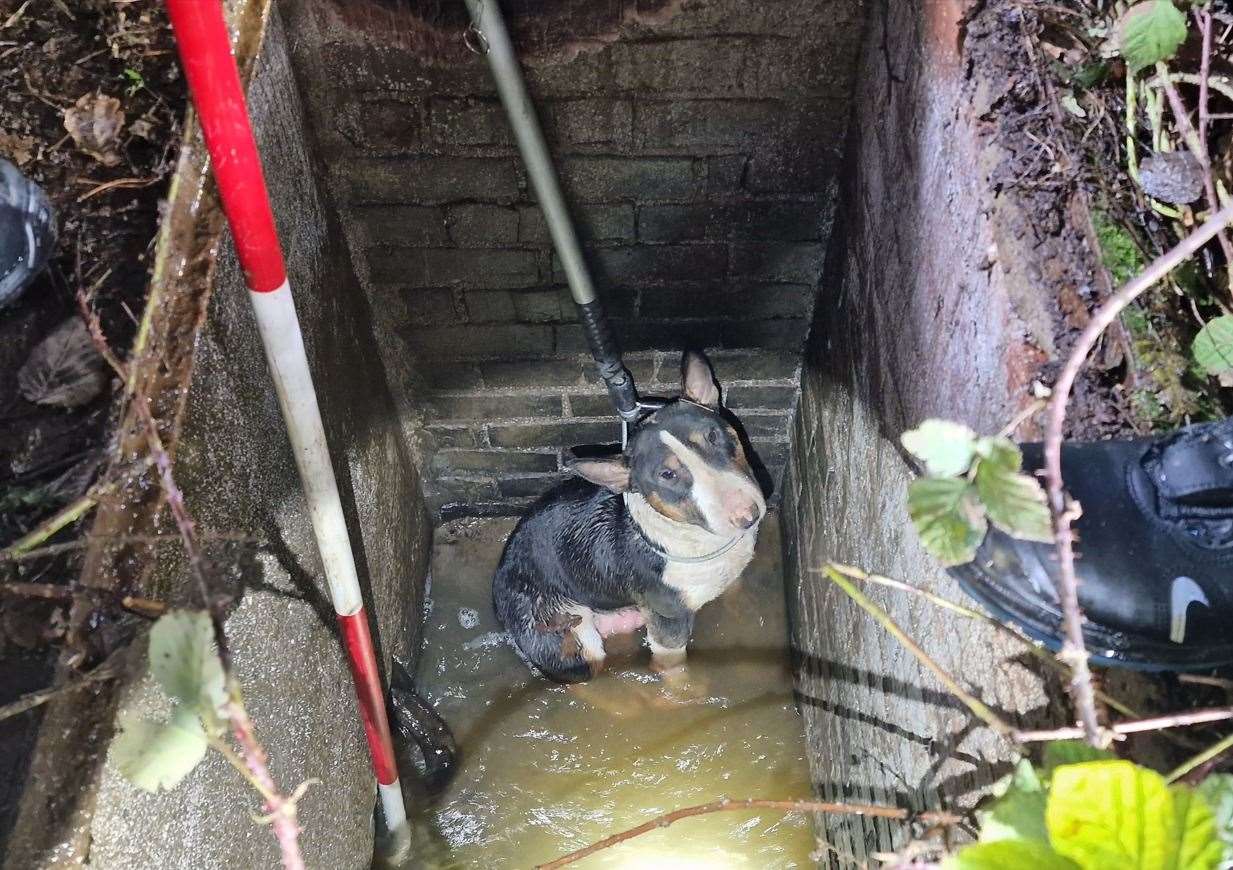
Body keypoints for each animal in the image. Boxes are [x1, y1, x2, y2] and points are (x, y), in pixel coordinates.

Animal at [488, 349, 759, 680]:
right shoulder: (668, 624)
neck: (698, 541)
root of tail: (498, 594)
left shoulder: (734, 580)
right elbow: (676, 673)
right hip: (568, 636)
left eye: (713, 436)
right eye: (667, 475)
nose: (748, 515)